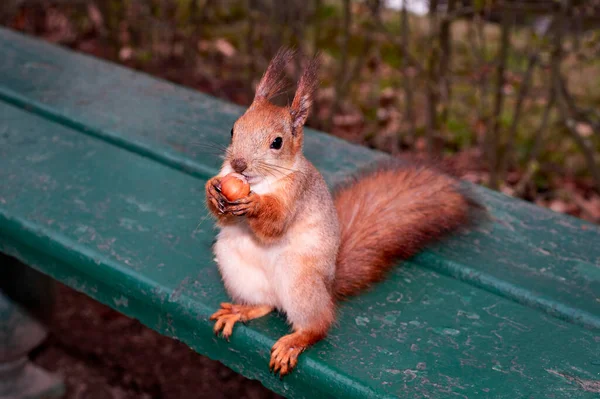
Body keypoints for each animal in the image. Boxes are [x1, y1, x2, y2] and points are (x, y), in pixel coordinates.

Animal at [204, 48, 480, 376]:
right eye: (234, 129)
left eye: (277, 142)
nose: (239, 164)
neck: (260, 183)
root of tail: (329, 285)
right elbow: (222, 213)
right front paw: (212, 189)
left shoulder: (297, 194)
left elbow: (275, 225)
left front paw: (255, 205)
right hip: (236, 268)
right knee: (267, 304)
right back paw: (242, 309)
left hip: (299, 280)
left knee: (319, 325)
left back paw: (295, 341)